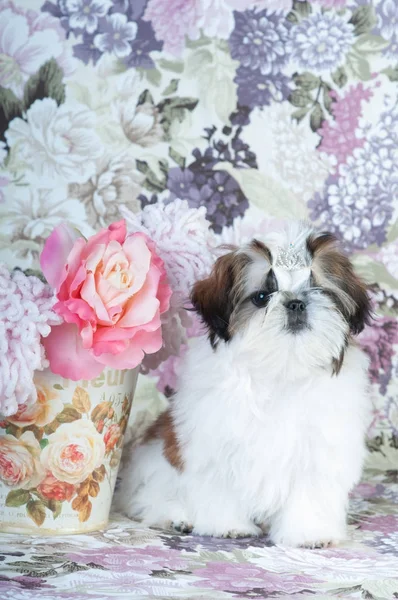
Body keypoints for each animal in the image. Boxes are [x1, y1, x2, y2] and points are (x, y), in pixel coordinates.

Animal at [116, 221, 372, 548]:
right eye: (262, 296)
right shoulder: (217, 441)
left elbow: (310, 490)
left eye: (318, 289)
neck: (281, 368)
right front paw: (227, 525)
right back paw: (177, 517)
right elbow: (221, 485)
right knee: (149, 499)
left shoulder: (319, 448)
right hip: (157, 460)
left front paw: (309, 533)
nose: (296, 302)